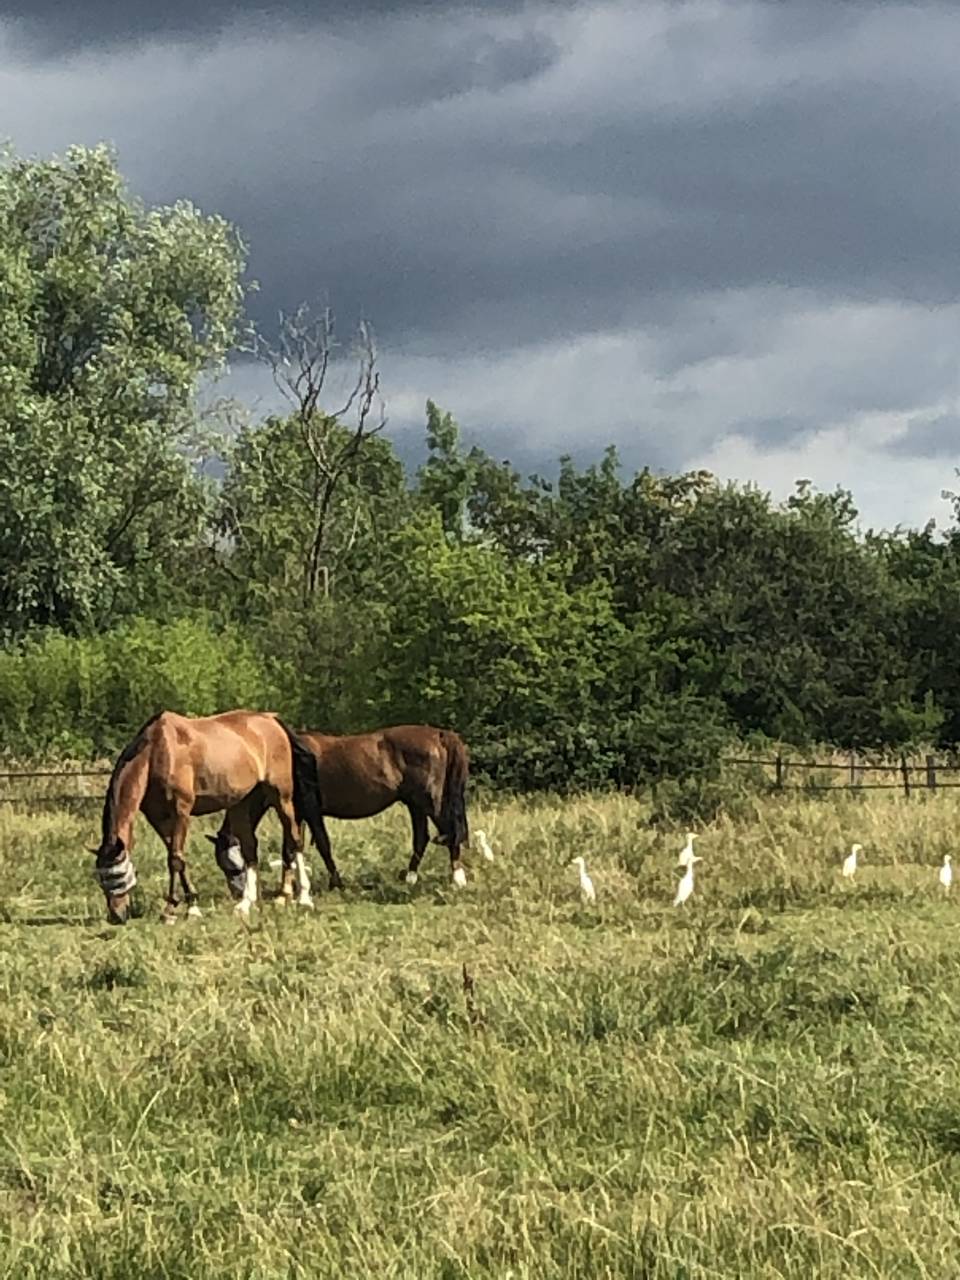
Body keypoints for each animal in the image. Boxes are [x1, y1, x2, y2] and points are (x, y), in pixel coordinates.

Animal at [92, 709, 324, 925]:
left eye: (118, 877)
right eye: (102, 881)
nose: (117, 916)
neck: (157, 752)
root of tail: (272, 719)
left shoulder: (181, 812)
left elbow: (175, 860)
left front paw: (176, 910)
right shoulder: (158, 818)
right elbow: (177, 857)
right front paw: (186, 904)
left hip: (280, 796)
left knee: (294, 840)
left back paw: (302, 897)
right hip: (242, 802)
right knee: (250, 848)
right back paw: (245, 903)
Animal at [207, 724, 470, 893]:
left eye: (231, 865)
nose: (237, 893)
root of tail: (439, 735)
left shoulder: (309, 812)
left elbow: (318, 846)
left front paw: (334, 882)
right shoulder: (298, 815)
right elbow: (291, 849)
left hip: (428, 802)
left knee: (450, 832)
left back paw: (457, 878)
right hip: (415, 804)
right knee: (422, 838)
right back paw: (411, 878)